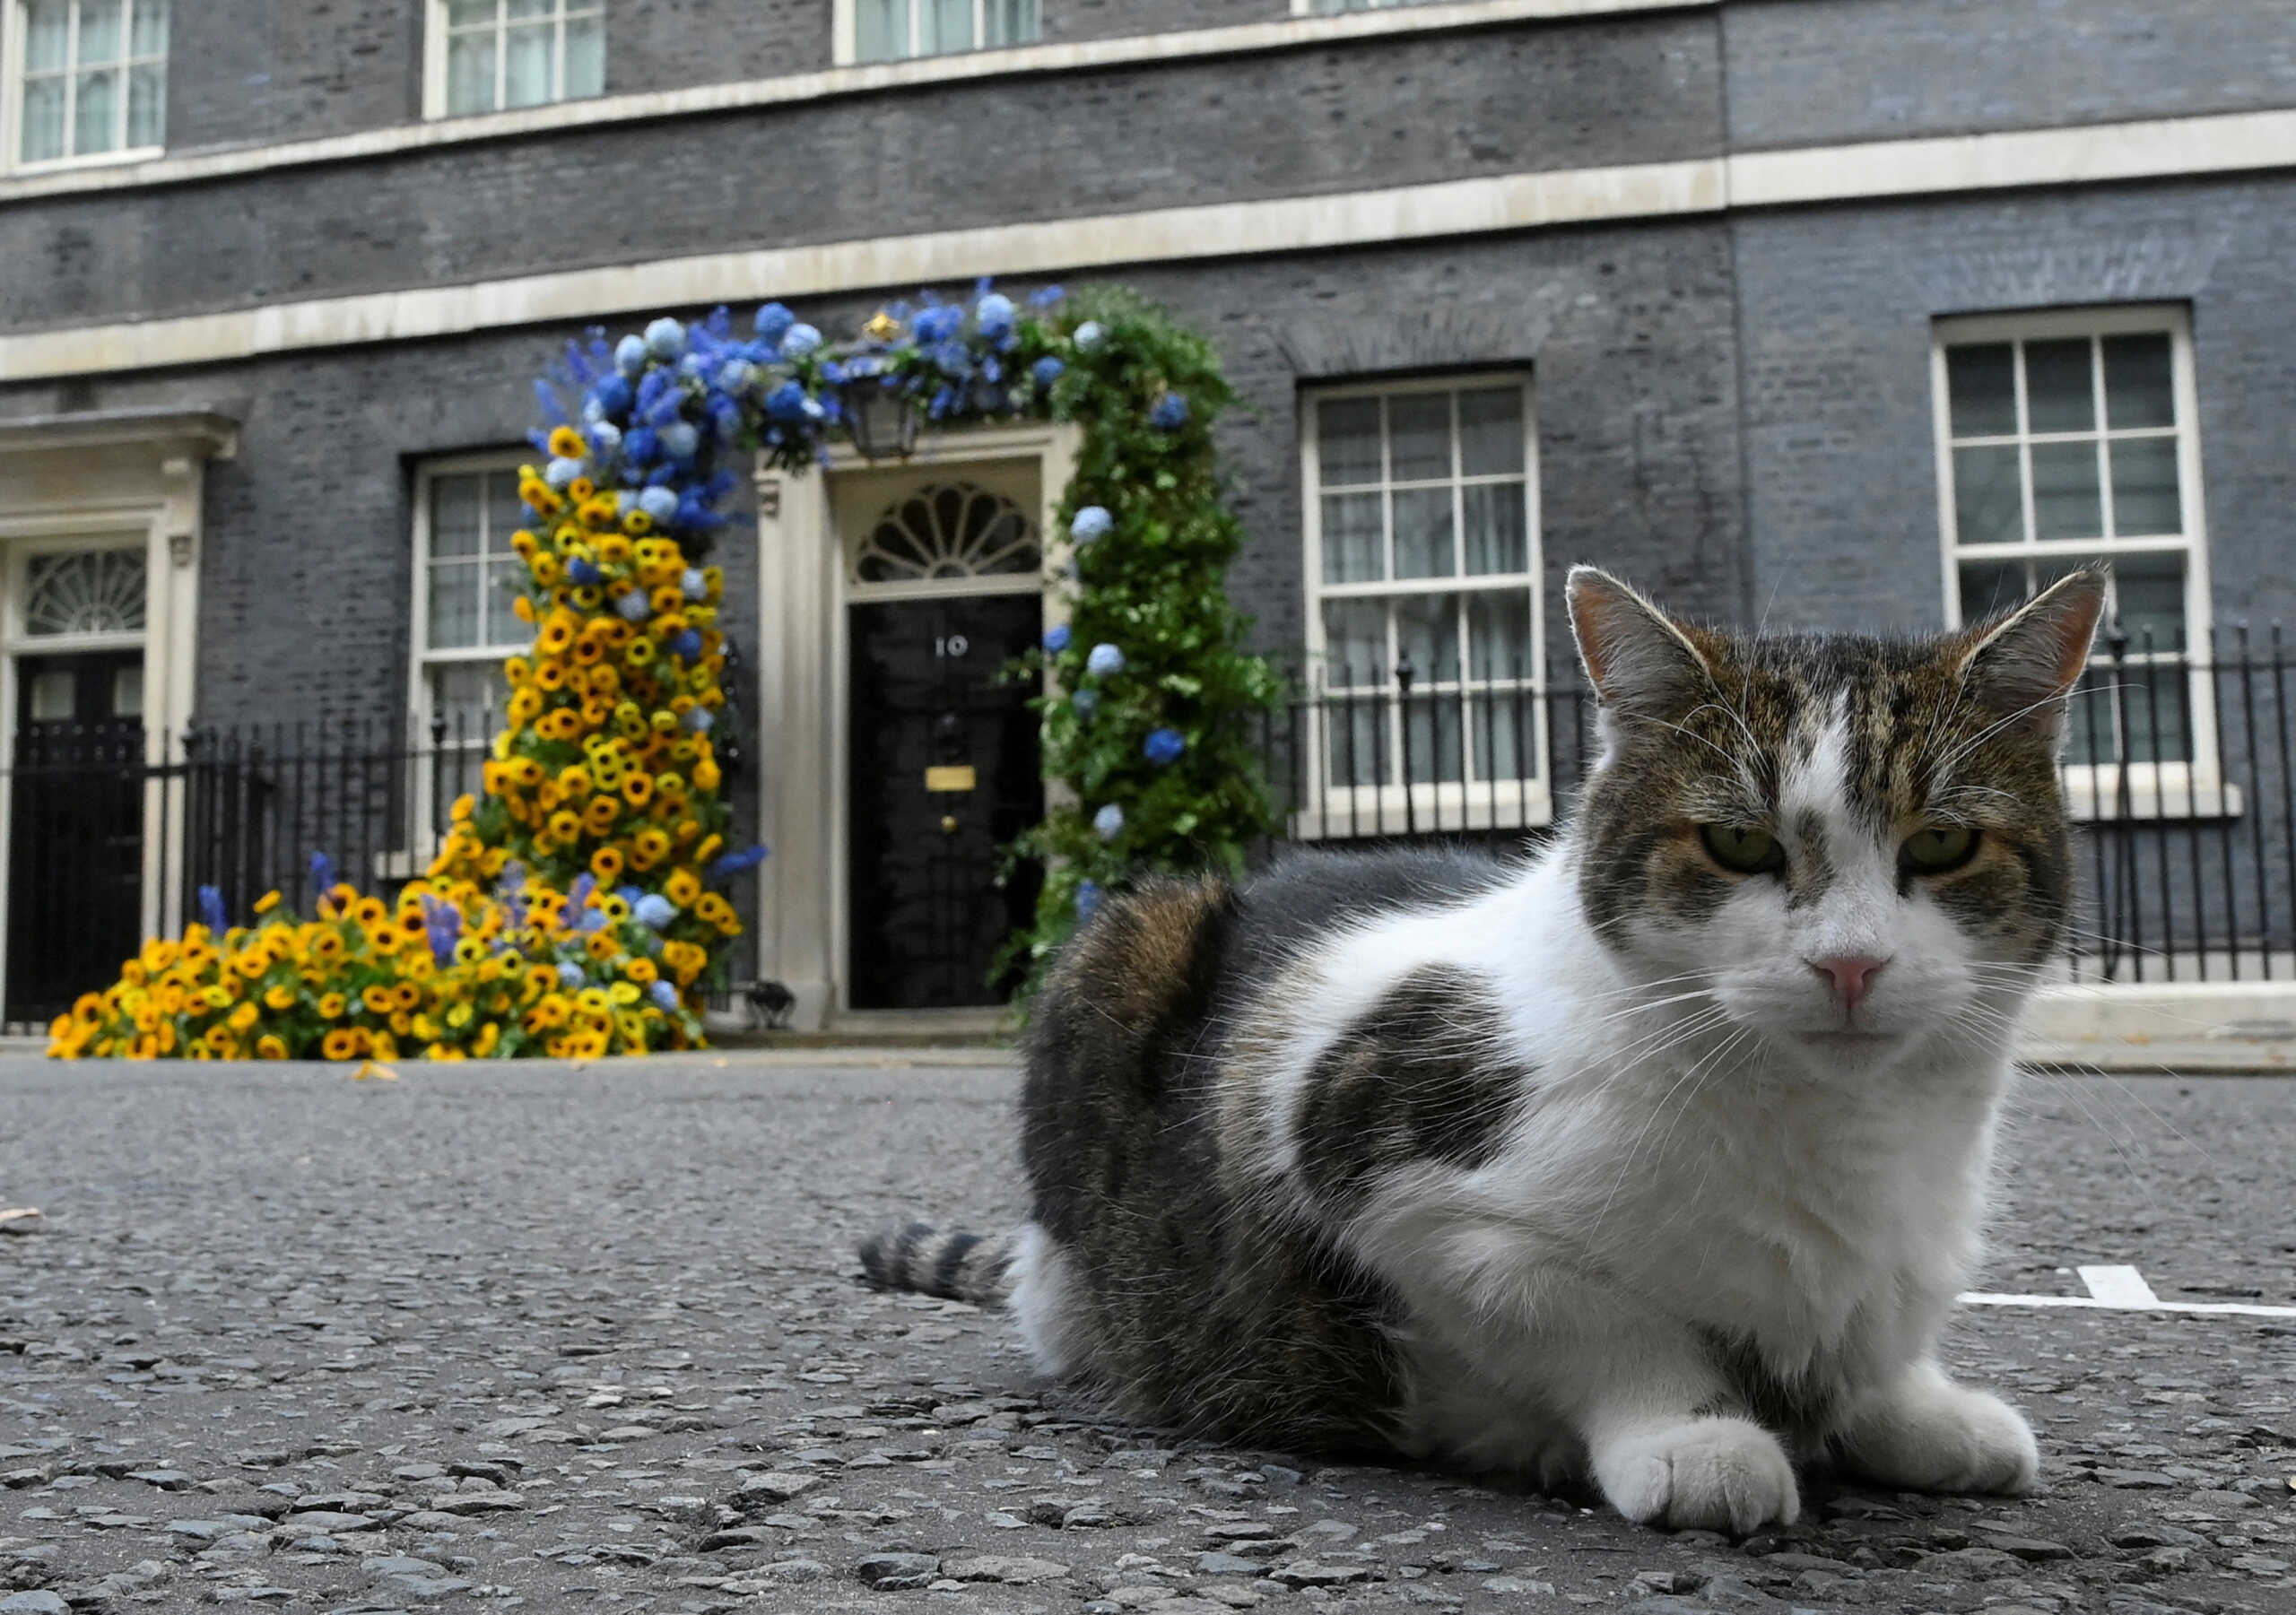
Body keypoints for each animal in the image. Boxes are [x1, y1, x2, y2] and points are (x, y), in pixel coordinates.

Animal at [863, 569, 2102, 1541]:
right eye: (1736, 842)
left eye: (1941, 842)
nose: (1849, 963)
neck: (1835, 1131)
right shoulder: (1388, 1174)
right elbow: (1601, 1320)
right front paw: (1694, 1435)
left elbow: (1871, 1342)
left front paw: (1918, 1408)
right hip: (1120, 951)